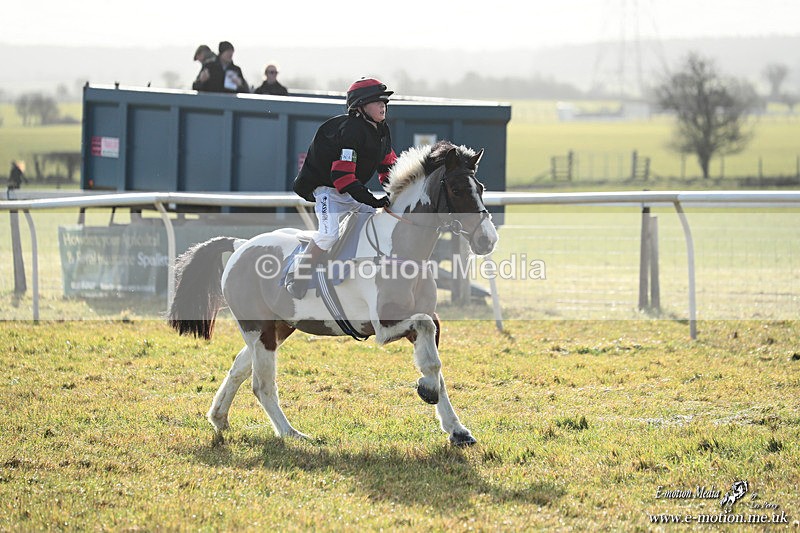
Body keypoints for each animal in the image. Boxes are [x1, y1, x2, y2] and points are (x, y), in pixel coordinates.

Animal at [167, 140, 499, 446]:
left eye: (480, 188)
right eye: (456, 188)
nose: (487, 239)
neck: (401, 252)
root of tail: (240, 245)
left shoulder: (425, 319)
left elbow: (435, 362)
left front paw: (457, 429)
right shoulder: (385, 326)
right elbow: (427, 339)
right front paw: (427, 389)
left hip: (278, 327)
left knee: (239, 368)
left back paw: (219, 417)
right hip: (257, 328)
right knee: (261, 384)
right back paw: (291, 433)